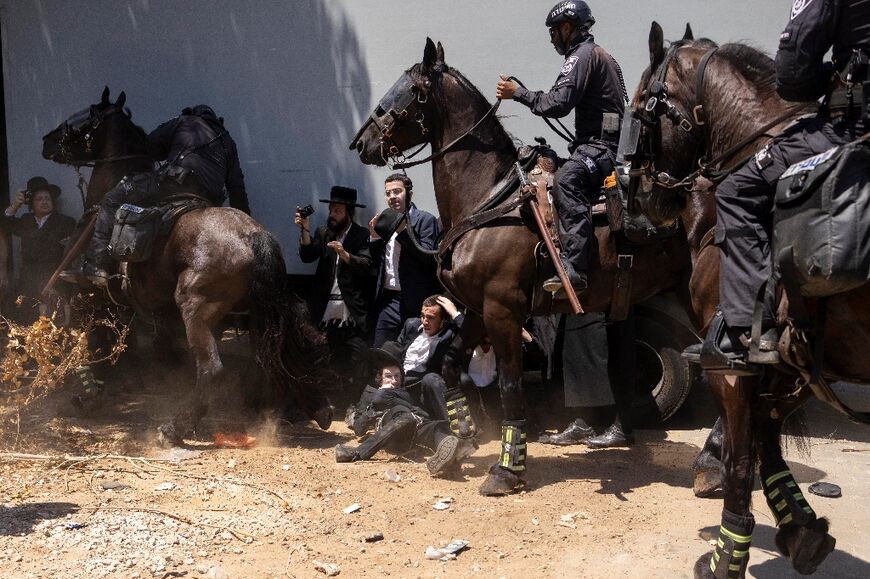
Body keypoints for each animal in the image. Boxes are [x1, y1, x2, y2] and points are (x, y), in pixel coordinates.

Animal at [38, 88, 330, 446]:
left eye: (86, 117)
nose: (47, 142)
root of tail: (252, 236)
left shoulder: (89, 299)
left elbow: (93, 343)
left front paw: (89, 394)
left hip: (196, 309)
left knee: (212, 370)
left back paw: (175, 427)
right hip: (263, 314)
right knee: (289, 348)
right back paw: (316, 406)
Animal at [350, 38, 700, 496]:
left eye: (408, 91)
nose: (361, 143)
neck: (491, 197)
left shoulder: (503, 311)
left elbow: (510, 387)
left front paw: (507, 469)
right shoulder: (477, 310)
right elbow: (448, 366)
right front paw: (460, 439)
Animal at [624, 21, 868, 576]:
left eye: (640, 105)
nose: (644, 194)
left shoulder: (733, 366)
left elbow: (742, 458)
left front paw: (725, 554)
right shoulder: (789, 367)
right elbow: (766, 442)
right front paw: (801, 528)